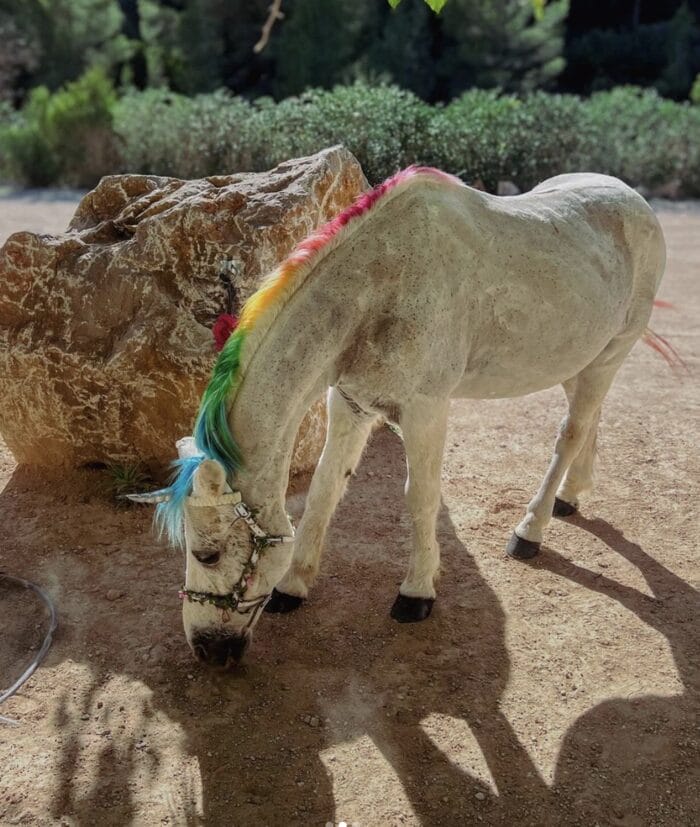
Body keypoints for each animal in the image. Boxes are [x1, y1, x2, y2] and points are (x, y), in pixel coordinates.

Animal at [130, 167, 668, 668]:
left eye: (208, 553)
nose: (205, 650)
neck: (377, 289)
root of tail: (632, 197)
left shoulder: (426, 410)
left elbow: (420, 498)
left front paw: (417, 592)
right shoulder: (349, 404)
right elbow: (324, 491)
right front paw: (294, 585)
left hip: (610, 355)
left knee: (571, 432)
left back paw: (530, 530)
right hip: (578, 359)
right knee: (589, 421)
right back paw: (570, 497)